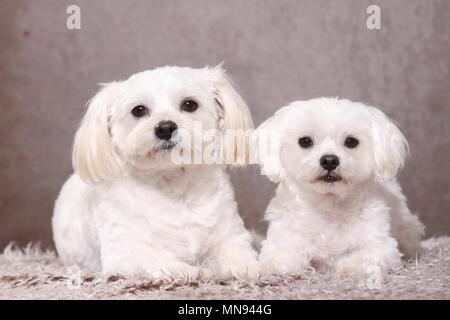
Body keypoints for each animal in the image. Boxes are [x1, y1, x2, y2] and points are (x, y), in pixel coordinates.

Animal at [51, 65, 258, 278]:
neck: (174, 188)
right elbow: (166, 263)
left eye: (190, 104)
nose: (165, 127)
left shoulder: (230, 235)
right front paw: (197, 272)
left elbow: (237, 252)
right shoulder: (125, 253)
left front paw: (247, 267)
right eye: (138, 110)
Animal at [256, 97, 426, 278]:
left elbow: (367, 255)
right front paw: (276, 267)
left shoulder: (382, 245)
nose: (329, 160)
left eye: (351, 141)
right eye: (305, 141)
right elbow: (282, 258)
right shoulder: (281, 240)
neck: (329, 206)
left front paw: (353, 266)